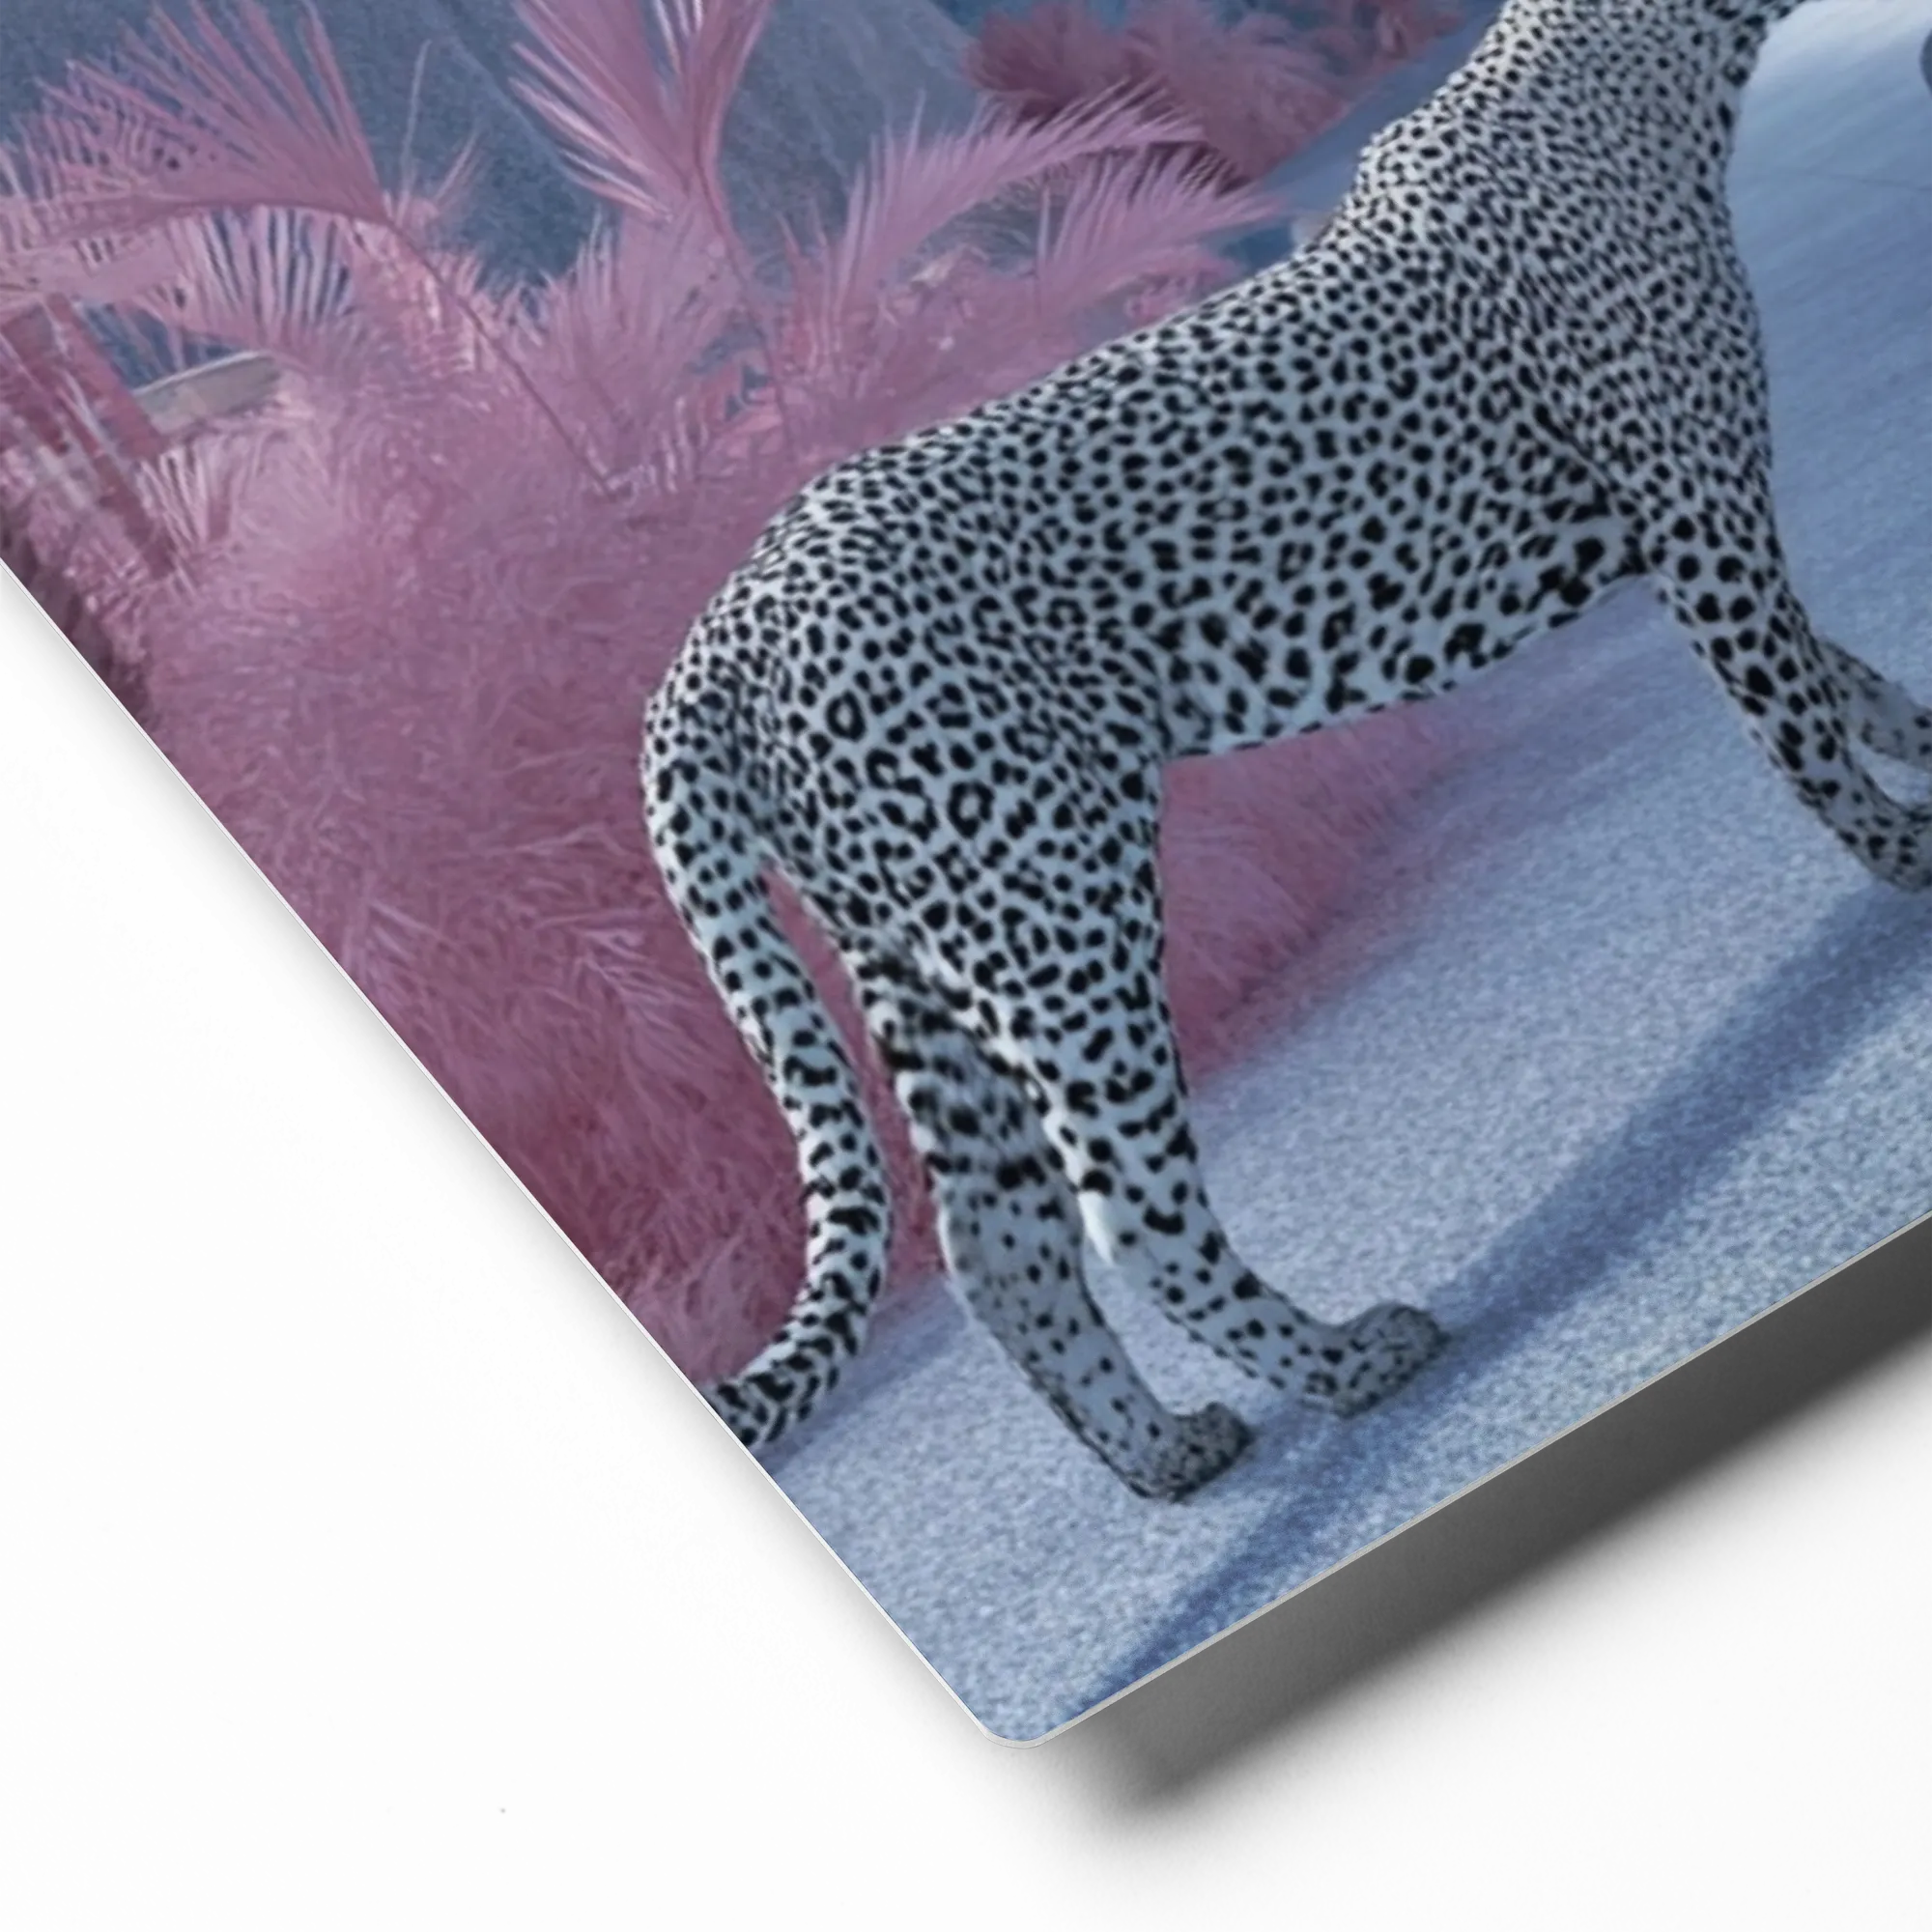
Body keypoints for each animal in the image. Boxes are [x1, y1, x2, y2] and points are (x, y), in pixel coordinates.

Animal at [642, 0, 1932, 1501]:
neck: (1650, 69)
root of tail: (706, 649)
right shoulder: (1699, 517)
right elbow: (1801, 725)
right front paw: (1907, 851)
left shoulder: (1679, 532)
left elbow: (1843, 679)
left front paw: (1930, 755)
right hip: (1051, 913)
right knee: (1123, 1207)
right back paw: (1350, 1361)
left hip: (914, 957)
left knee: (996, 1246)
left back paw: (1167, 1455)